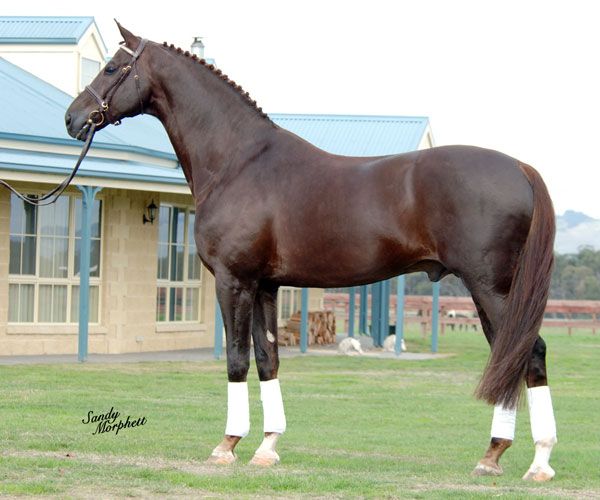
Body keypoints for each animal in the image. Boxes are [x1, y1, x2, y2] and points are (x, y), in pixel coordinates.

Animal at [65, 23, 556, 480]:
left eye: (111, 67)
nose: (73, 119)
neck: (238, 162)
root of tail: (521, 168)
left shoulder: (233, 281)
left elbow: (236, 358)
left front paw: (227, 445)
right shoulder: (265, 286)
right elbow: (267, 359)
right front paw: (267, 447)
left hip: (491, 288)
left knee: (527, 353)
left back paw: (530, 460)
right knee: (513, 355)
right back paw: (500, 456)